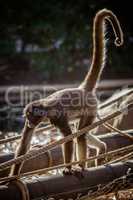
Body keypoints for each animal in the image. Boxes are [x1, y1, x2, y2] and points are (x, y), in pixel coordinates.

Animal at [10, 8, 123, 176]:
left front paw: (68, 167)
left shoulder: (57, 116)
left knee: (80, 135)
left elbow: (69, 138)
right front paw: (13, 178)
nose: (29, 122)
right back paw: (101, 148)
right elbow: (23, 147)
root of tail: (82, 89)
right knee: (82, 133)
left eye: (30, 116)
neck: (45, 107)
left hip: (91, 108)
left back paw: (81, 166)